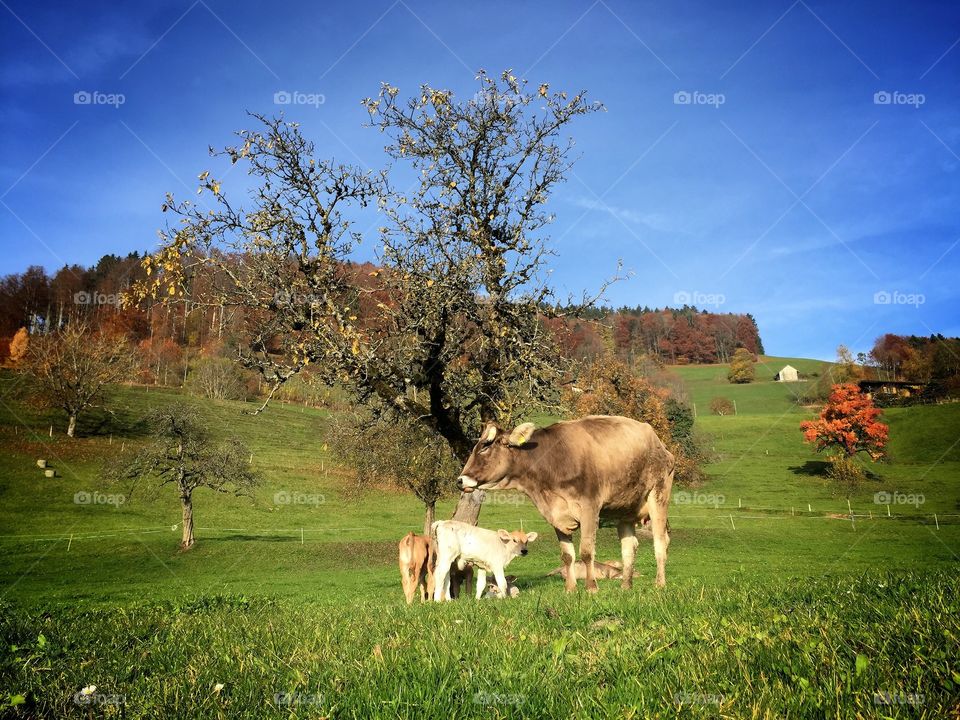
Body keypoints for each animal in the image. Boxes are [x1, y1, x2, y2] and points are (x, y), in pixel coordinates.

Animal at [456, 415, 674, 593]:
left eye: (486, 446)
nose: (460, 480)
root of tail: (659, 444)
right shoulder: (556, 514)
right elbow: (567, 555)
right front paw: (570, 588)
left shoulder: (589, 507)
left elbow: (586, 551)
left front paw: (591, 587)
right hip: (625, 509)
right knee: (629, 547)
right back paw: (626, 586)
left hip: (658, 495)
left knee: (660, 542)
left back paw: (659, 584)